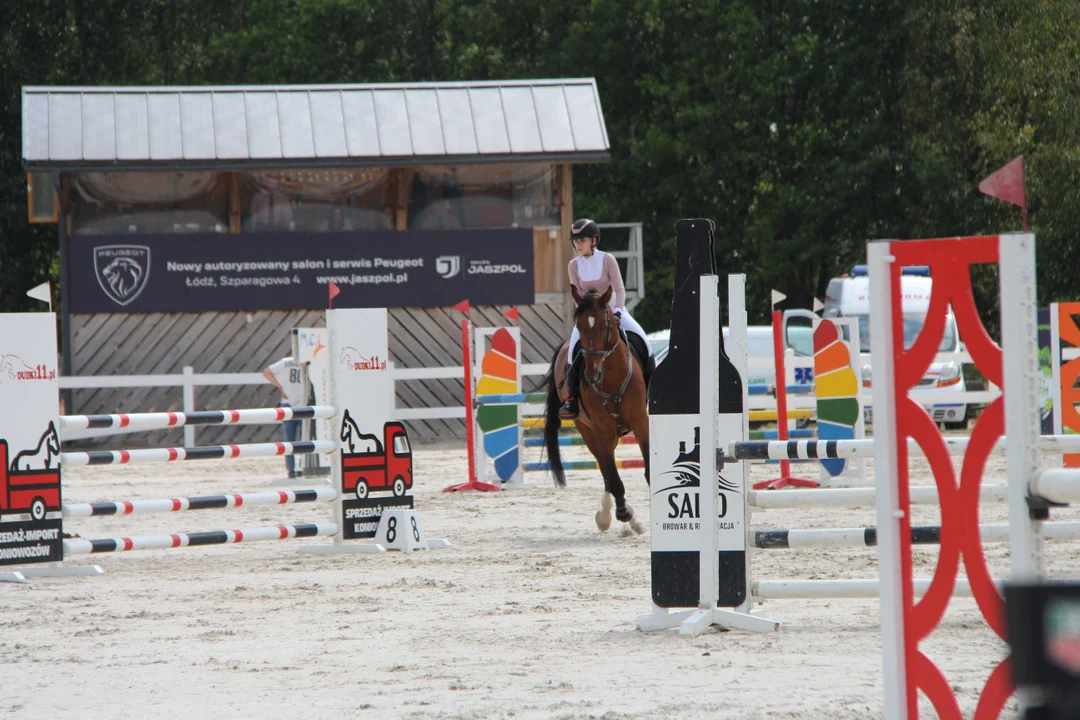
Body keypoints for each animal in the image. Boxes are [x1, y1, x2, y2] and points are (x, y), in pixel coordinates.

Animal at [540, 284, 648, 533]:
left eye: (605, 326)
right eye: (579, 326)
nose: (592, 376)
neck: (611, 378)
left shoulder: (641, 422)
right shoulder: (601, 429)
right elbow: (613, 477)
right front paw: (622, 513)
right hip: (588, 430)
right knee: (606, 469)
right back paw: (610, 517)